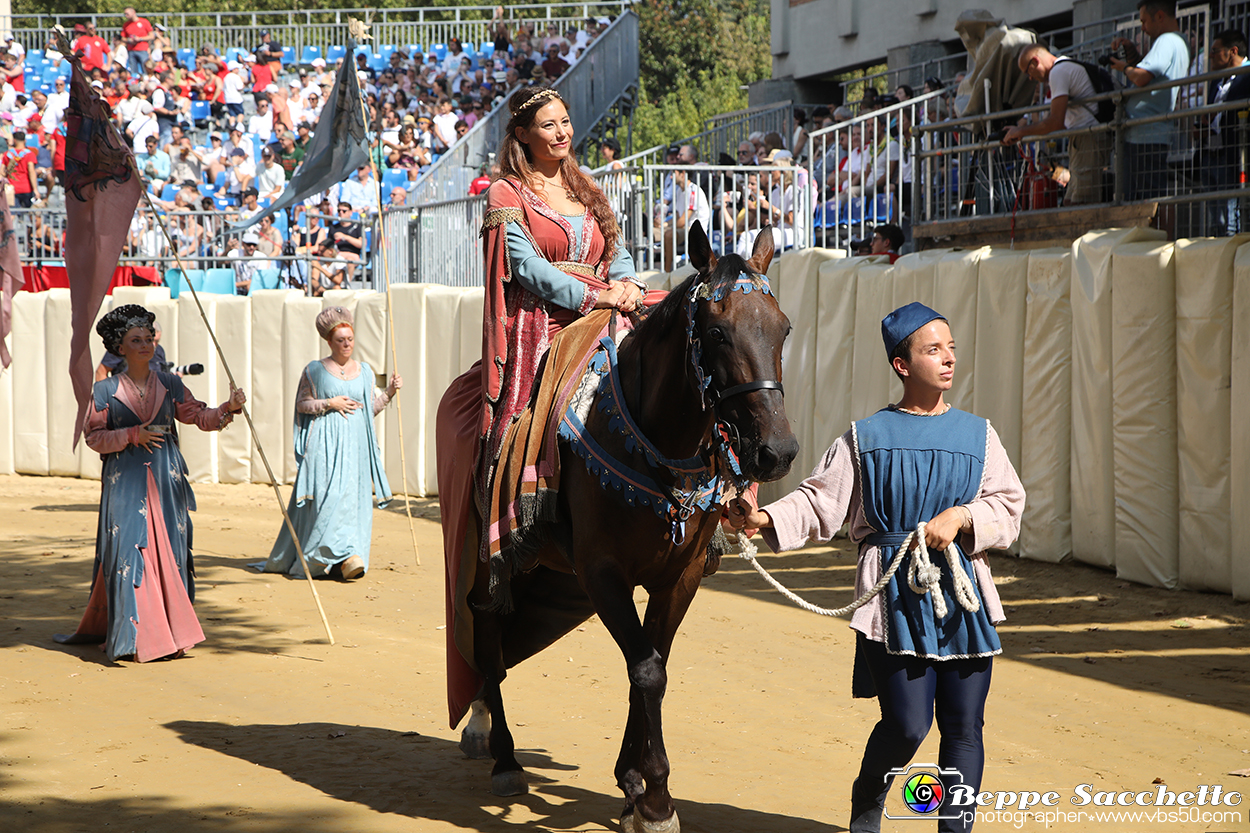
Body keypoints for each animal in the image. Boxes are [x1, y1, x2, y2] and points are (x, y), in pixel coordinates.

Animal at [465, 223, 795, 825]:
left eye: (783, 330)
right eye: (717, 333)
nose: (776, 452)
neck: (660, 444)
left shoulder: (680, 575)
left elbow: (652, 663)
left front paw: (633, 782)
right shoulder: (601, 573)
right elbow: (646, 671)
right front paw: (658, 798)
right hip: (487, 556)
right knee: (488, 636)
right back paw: (501, 755)